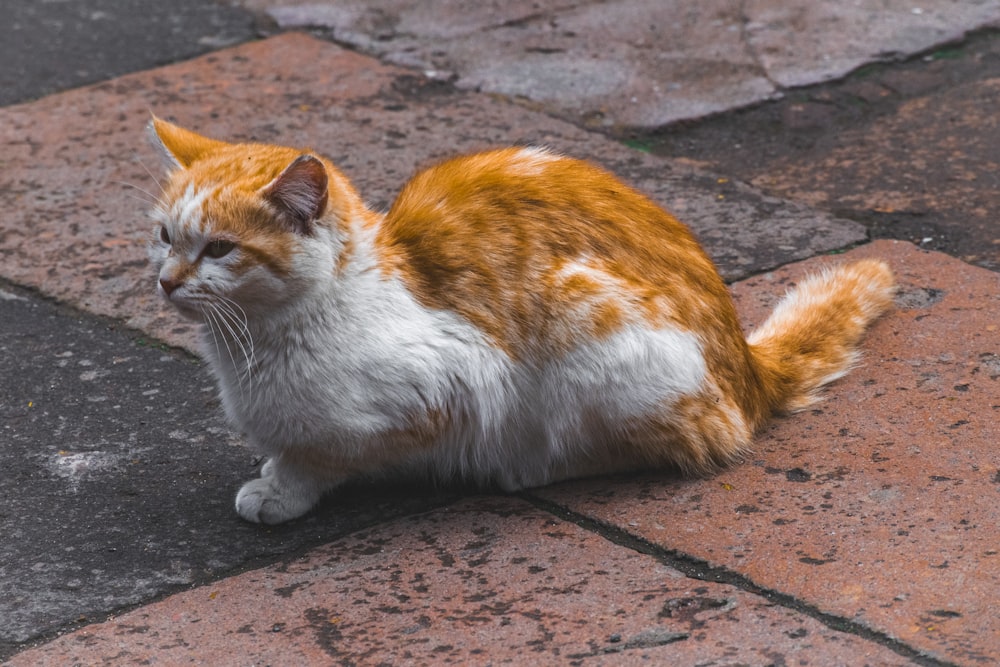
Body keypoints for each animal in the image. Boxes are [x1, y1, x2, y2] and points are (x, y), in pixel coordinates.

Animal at [145, 117, 896, 524]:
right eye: (164, 236)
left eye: (220, 249)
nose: (166, 281)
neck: (254, 348)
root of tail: (746, 363)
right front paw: (273, 473)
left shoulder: (448, 383)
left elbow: (322, 455)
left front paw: (283, 490)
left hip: (591, 326)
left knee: (701, 439)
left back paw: (533, 466)